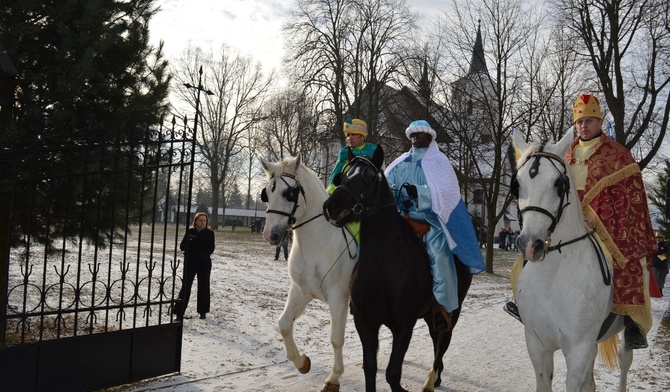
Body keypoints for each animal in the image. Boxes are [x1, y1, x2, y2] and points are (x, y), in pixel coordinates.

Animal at [260, 155, 360, 392]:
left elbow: (336, 338)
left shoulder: (338, 298)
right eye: (267, 193)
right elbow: (284, 324)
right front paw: (302, 362)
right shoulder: (301, 292)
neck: (317, 243)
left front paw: (334, 378)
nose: (270, 235)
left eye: (289, 193)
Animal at [324, 146, 472, 392]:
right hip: (430, 314)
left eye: (368, 178)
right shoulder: (365, 322)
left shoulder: (404, 325)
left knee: (443, 341)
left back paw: (431, 380)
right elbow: (370, 368)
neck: (382, 265)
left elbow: (393, 373)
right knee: (436, 339)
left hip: (453, 309)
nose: (331, 206)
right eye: (343, 176)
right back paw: (436, 377)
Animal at [516, 131, 636, 392]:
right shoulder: (537, 345)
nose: (531, 244)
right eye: (517, 183)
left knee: (625, 360)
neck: (552, 278)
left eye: (558, 183)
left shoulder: (578, 350)